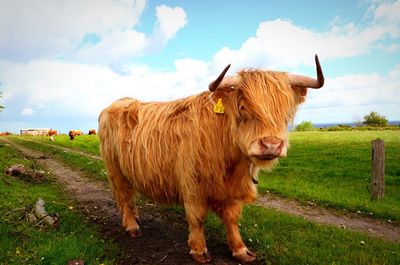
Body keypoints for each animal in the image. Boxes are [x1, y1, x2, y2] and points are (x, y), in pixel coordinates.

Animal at [98, 55, 324, 262]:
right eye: (243, 107)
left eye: (285, 113)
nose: (271, 145)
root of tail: (117, 103)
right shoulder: (192, 184)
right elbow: (197, 217)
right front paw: (199, 250)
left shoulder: (233, 190)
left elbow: (232, 219)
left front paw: (240, 250)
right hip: (115, 170)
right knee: (124, 196)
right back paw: (132, 226)